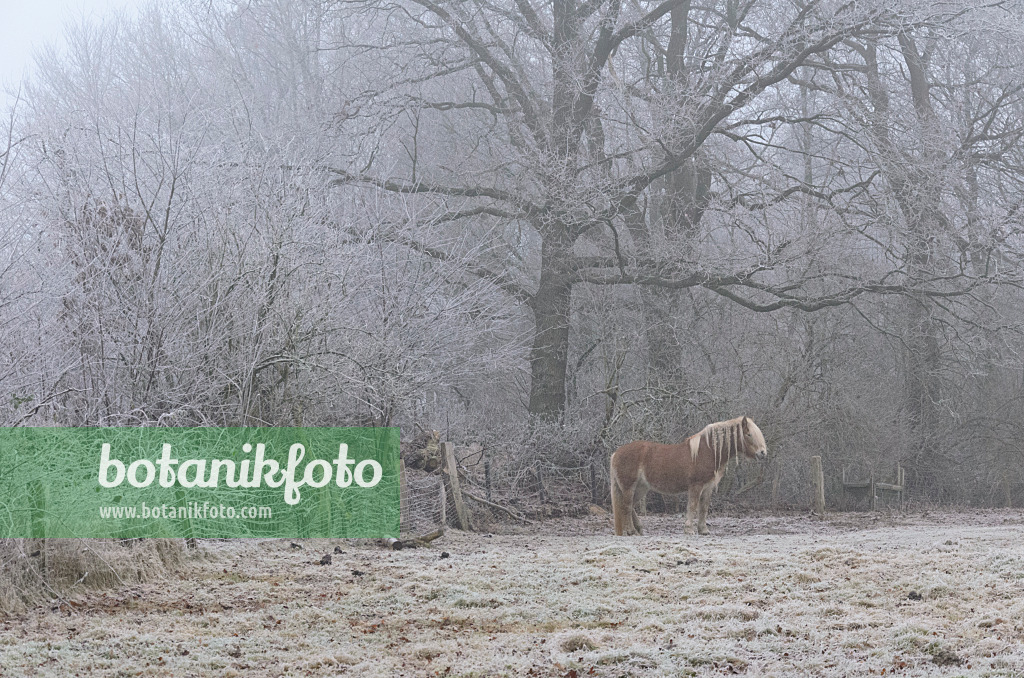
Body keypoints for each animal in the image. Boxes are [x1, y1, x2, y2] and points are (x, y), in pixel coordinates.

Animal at [606, 417, 770, 540]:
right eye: (749, 434)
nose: (762, 453)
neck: (708, 451)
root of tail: (616, 453)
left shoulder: (708, 487)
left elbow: (703, 508)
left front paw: (703, 530)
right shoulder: (696, 486)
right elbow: (692, 506)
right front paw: (689, 530)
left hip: (641, 488)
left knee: (631, 506)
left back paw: (639, 529)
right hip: (629, 487)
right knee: (626, 506)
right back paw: (631, 531)